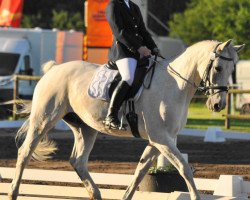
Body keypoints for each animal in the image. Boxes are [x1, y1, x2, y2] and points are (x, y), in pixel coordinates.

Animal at [8, 39, 244, 200]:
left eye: (233, 69)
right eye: (218, 67)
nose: (218, 105)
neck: (175, 85)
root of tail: (54, 69)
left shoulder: (160, 140)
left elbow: (141, 170)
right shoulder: (161, 139)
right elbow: (183, 167)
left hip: (85, 128)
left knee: (78, 161)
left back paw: (96, 194)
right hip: (44, 119)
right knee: (25, 152)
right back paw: (13, 192)